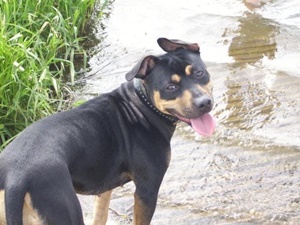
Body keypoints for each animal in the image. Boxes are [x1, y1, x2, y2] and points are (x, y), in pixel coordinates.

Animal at [0, 37, 216, 224]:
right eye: (170, 87)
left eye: (199, 73)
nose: (204, 103)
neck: (142, 104)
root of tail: (16, 177)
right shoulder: (147, 189)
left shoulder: (104, 187)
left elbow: (100, 216)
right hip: (63, 208)